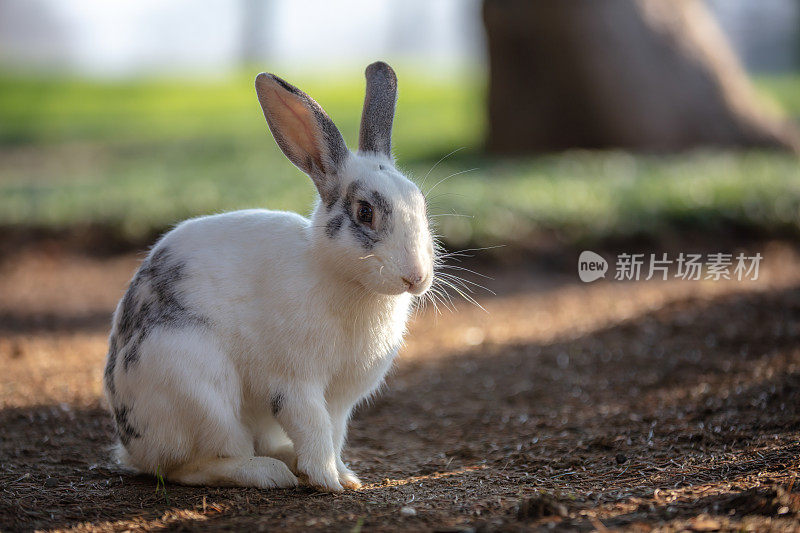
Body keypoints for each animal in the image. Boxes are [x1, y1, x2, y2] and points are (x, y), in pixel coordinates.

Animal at [105, 62, 434, 490]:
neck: (341, 279)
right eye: (365, 212)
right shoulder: (295, 384)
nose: (417, 277)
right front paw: (327, 480)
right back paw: (270, 473)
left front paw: (346, 476)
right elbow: (314, 428)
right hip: (200, 391)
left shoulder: (341, 397)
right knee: (189, 465)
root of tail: (131, 446)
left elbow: (334, 432)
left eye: (421, 203)